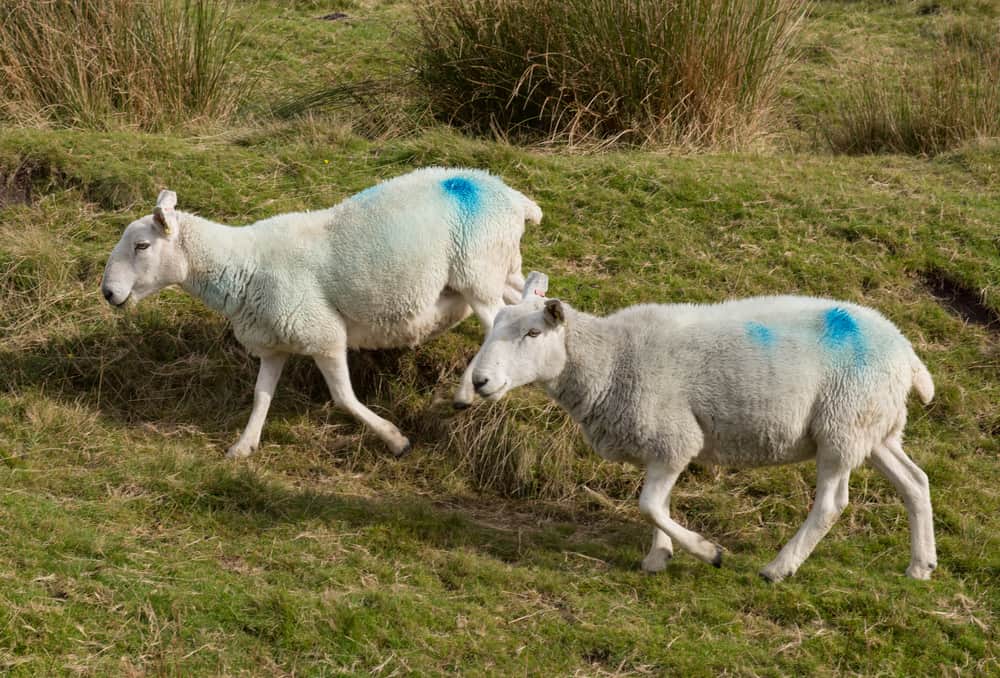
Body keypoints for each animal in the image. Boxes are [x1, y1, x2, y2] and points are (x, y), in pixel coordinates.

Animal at [100, 167, 542, 458]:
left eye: (141, 246)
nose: (108, 293)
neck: (243, 265)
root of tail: (510, 195)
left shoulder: (324, 335)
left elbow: (344, 397)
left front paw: (395, 439)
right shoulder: (274, 343)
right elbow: (261, 395)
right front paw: (244, 446)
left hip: (477, 271)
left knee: (496, 323)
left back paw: (467, 392)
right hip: (500, 269)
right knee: (525, 298)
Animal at [470, 272, 937, 581]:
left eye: (533, 333)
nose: (479, 381)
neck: (611, 358)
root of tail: (907, 354)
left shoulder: (675, 437)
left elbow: (649, 505)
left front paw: (707, 552)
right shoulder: (662, 445)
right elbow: (658, 506)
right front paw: (659, 556)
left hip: (842, 426)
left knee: (831, 505)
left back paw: (778, 568)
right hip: (874, 429)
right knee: (915, 482)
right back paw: (921, 565)